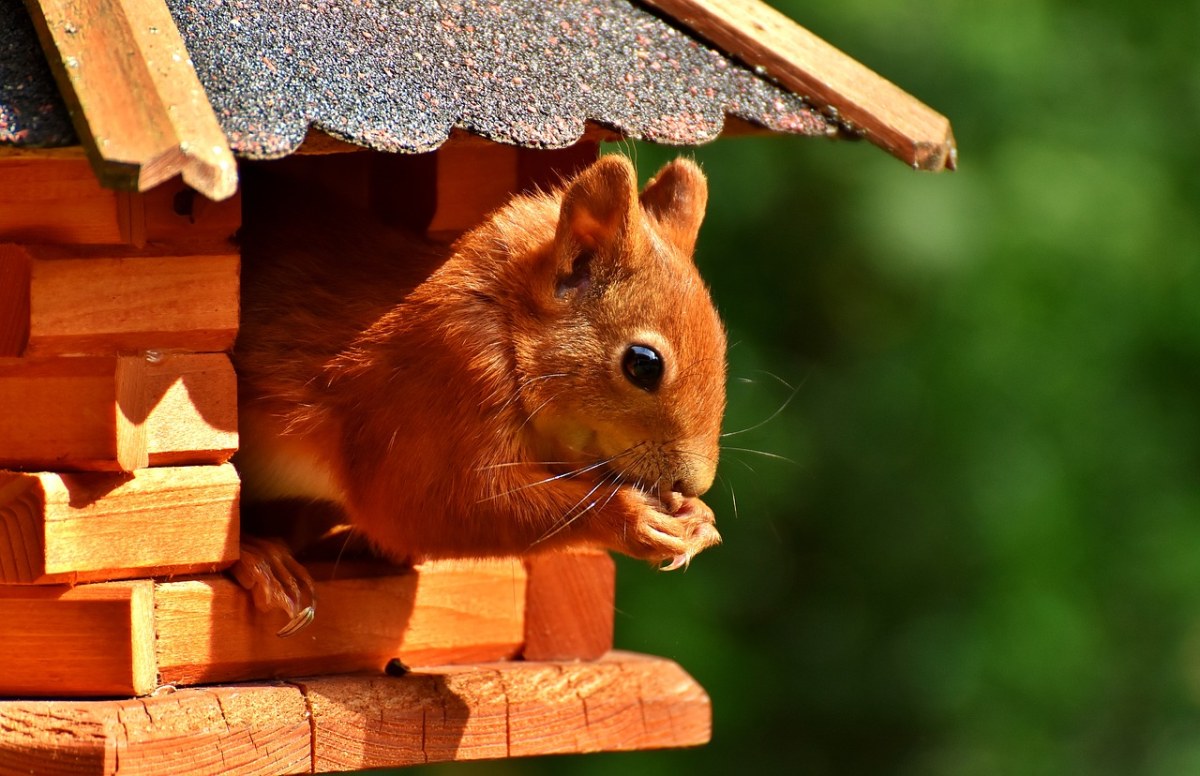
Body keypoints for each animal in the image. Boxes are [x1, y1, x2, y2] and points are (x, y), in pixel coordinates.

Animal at [230, 154, 724, 628]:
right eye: (643, 364)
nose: (692, 482)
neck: (505, 319)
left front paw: (697, 517)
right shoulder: (432, 383)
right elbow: (427, 508)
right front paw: (632, 518)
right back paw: (261, 557)